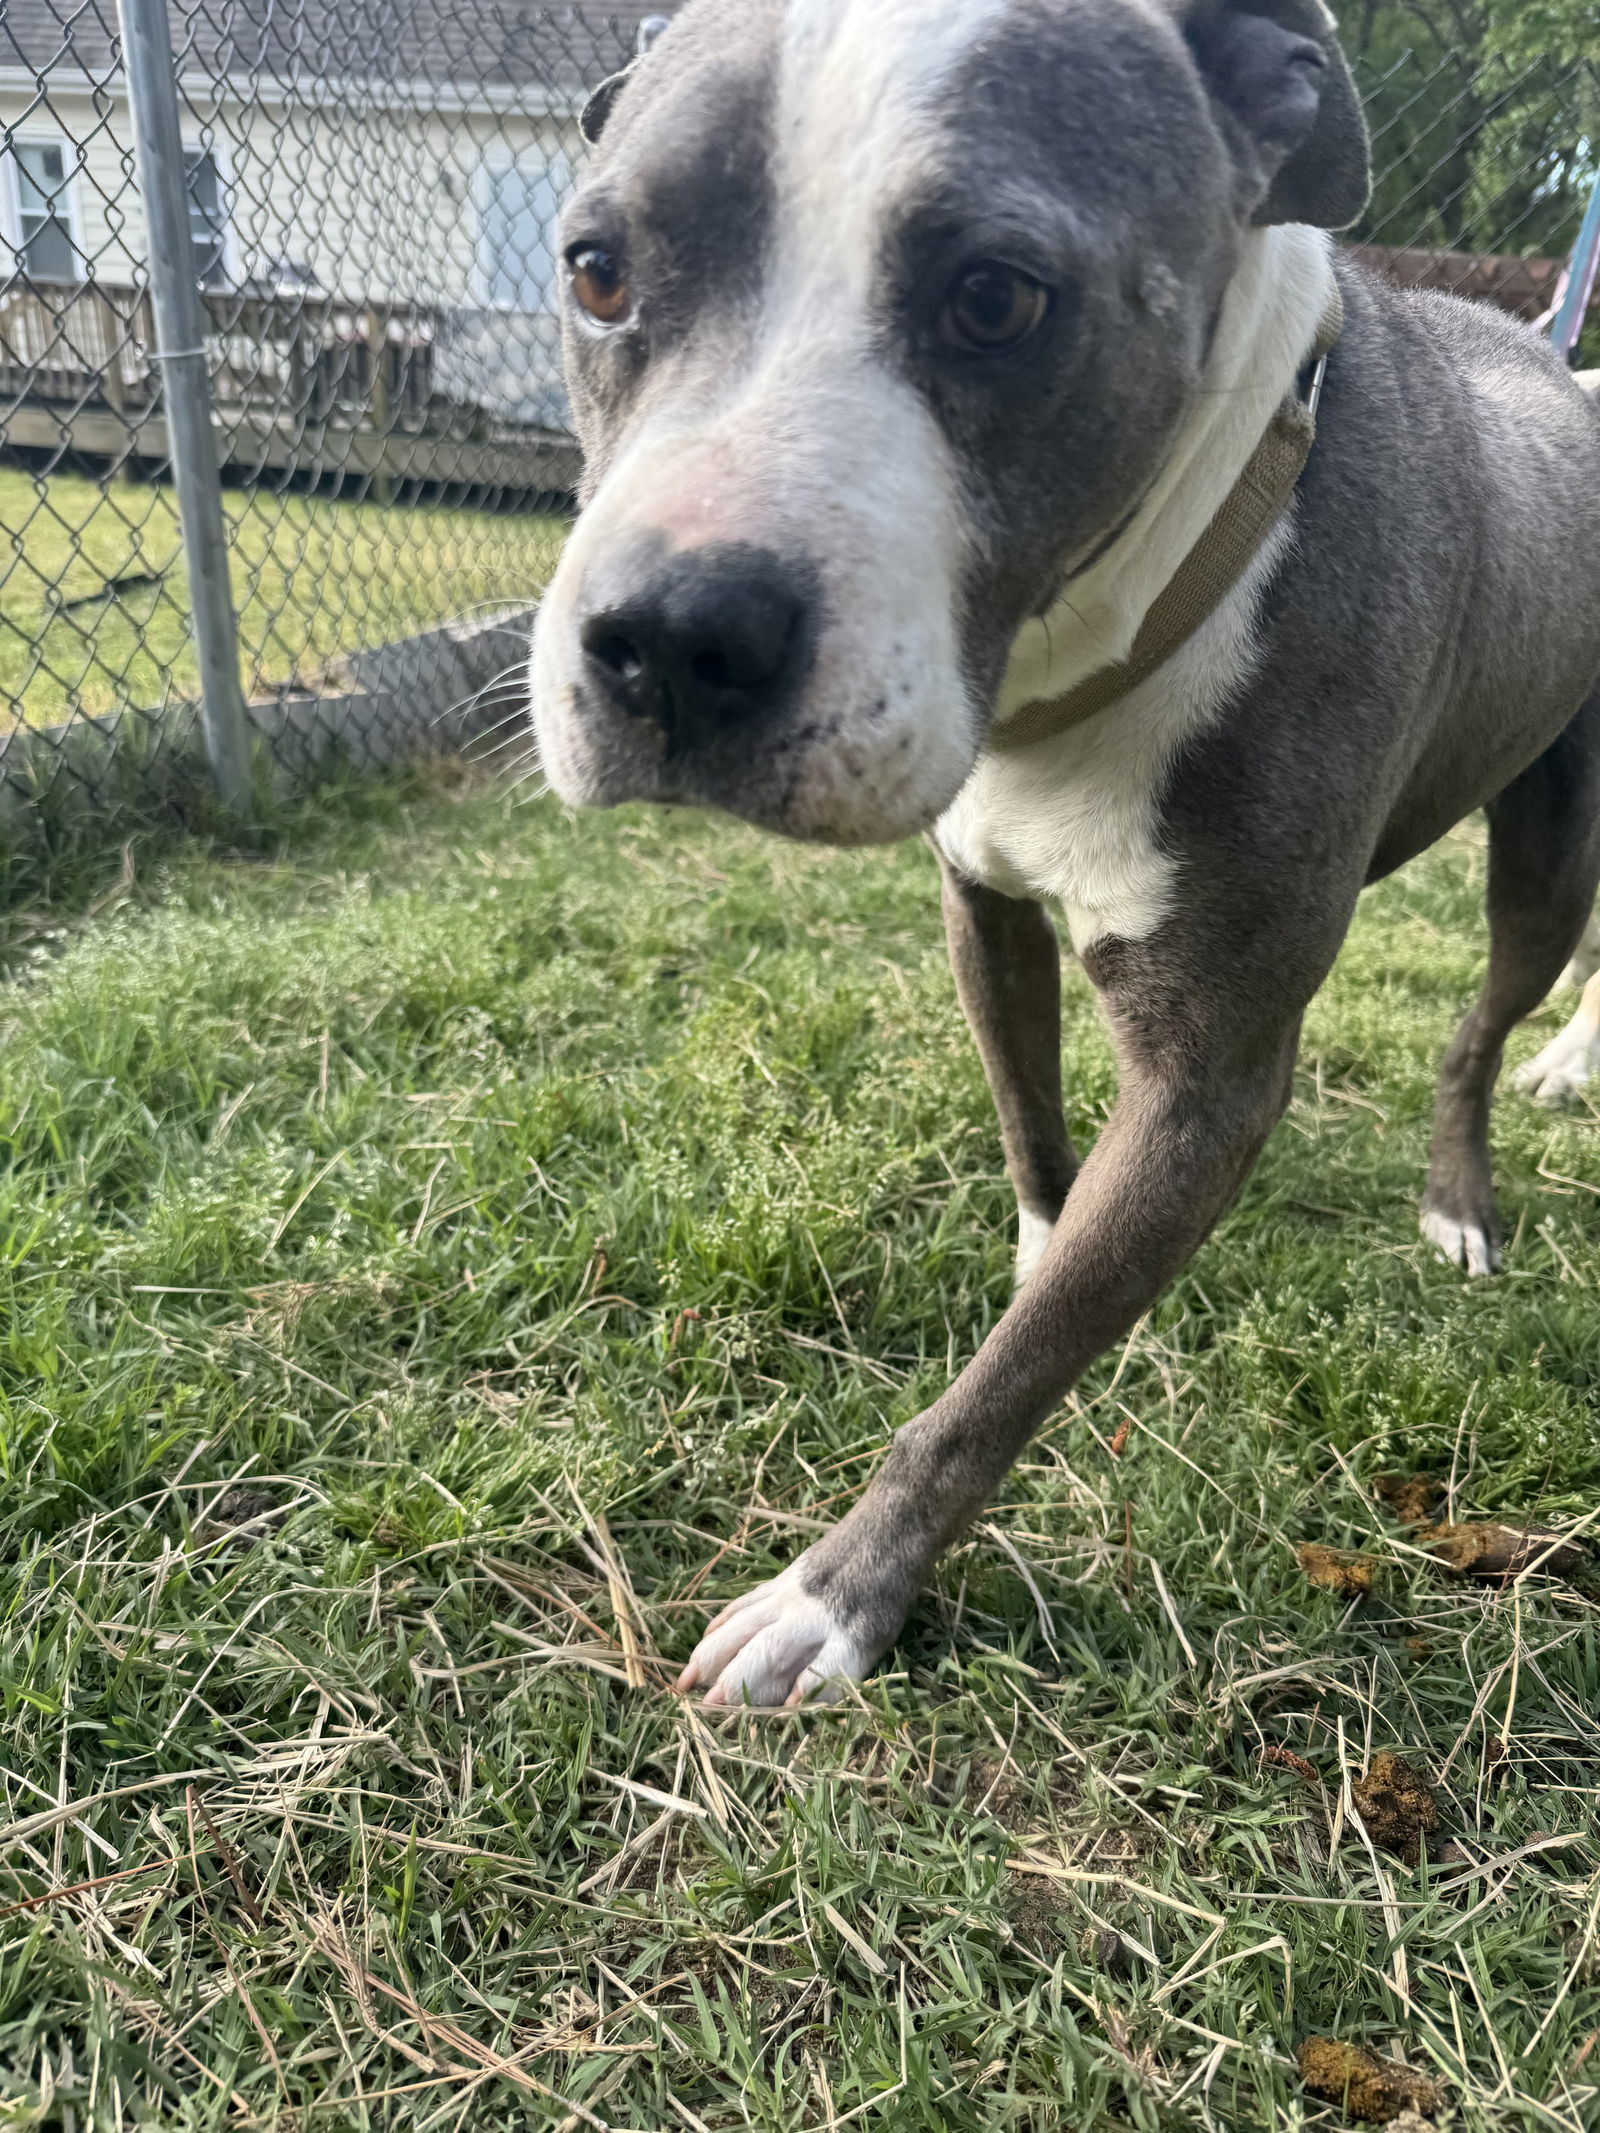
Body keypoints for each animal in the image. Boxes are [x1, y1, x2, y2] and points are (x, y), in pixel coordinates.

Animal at [529, 0, 1600, 1706]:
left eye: (996, 298)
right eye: (597, 269)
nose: (673, 641)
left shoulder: (1207, 1084)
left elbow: (992, 1396)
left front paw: (836, 1594)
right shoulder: (983, 903)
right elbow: (1036, 1143)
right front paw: (1041, 1260)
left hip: (1545, 851)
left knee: (1481, 1024)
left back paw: (1471, 1180)